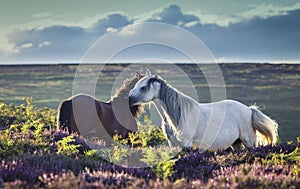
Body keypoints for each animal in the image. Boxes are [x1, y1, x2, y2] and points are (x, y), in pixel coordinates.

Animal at [129, 70, 278, 151]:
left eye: (143, 87)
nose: (129, 99)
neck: (178, 115)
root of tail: (249, 109)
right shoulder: (172, 145)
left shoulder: (187, 144)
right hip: (236, 143)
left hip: (249, 142)